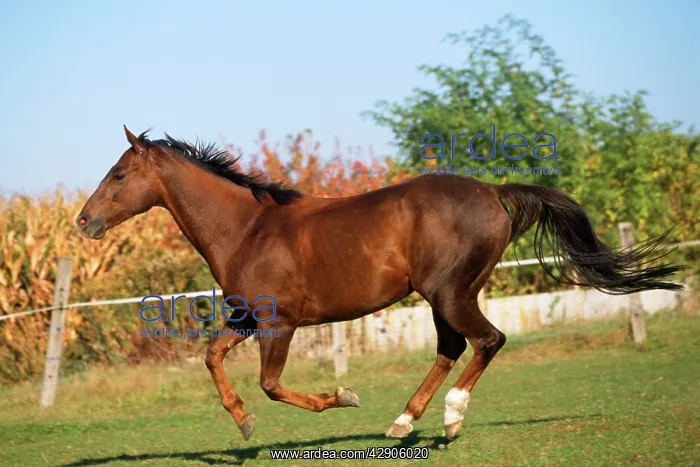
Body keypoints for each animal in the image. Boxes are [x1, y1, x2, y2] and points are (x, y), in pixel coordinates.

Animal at [76, 126, 683, 442]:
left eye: (120, 174)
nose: (83, 221)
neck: (248, 228)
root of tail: (494, 192)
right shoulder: (246, 317)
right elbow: (211, 357)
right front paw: (243, 422)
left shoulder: (279, 322)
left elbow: (273, 384)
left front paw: (343, 397)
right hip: (444, 297)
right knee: (452, 347)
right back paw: (403, 422)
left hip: (450, 293)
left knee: (485, 341)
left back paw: (450, 420)